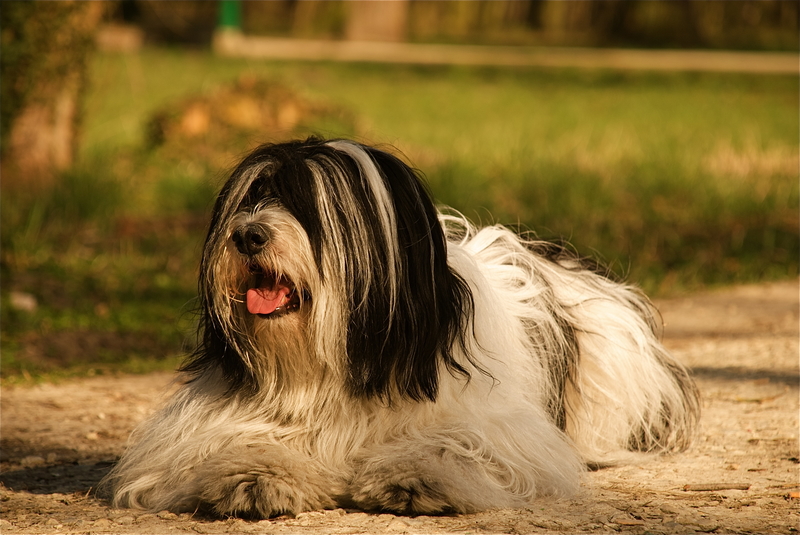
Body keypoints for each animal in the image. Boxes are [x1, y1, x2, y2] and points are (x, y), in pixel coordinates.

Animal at [101, 138, 700, 520]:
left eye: (313, 208)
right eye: (250, 199)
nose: (247, 235)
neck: (337, 365)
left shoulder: (507, 429)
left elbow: (460, 443)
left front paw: (416, 476)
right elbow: (224, 443)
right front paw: (253, 477)